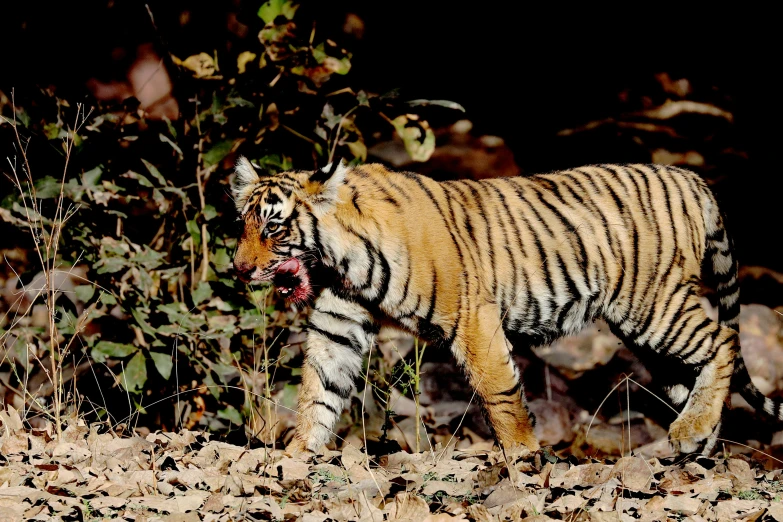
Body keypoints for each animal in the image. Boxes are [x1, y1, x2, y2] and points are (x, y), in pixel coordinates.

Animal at [230, 156, 780, 452]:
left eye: (273, 227)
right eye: (243, 223)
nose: (238, 268)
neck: (340, 260)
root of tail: (691, 177)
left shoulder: (472, 317)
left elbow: (500, 394)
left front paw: (524, 460)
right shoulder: (337, 323)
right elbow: (318, 392)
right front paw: (297, 456)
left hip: (652, 306)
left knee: (724, 340)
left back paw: (691, 432)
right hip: (647, 331)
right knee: (696, 370)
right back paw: (699, 444)